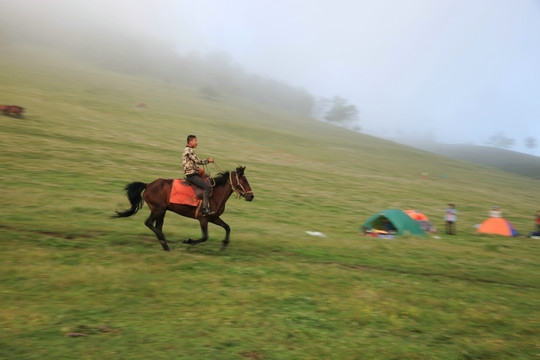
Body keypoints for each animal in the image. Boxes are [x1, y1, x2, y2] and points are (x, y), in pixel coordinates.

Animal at [112, 166, 255, 250]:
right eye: (244, 180)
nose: (251, 196)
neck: (215, 194)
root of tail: (148, 185)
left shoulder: (214, 218)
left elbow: (227, 227)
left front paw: (224, 245)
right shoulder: (203, 219)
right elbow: (205, 237)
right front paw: (188, 241)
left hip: (162, 211)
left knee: (157, 226)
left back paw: (165, 244)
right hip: (158, 209)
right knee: (149, 223)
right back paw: (165, 241)